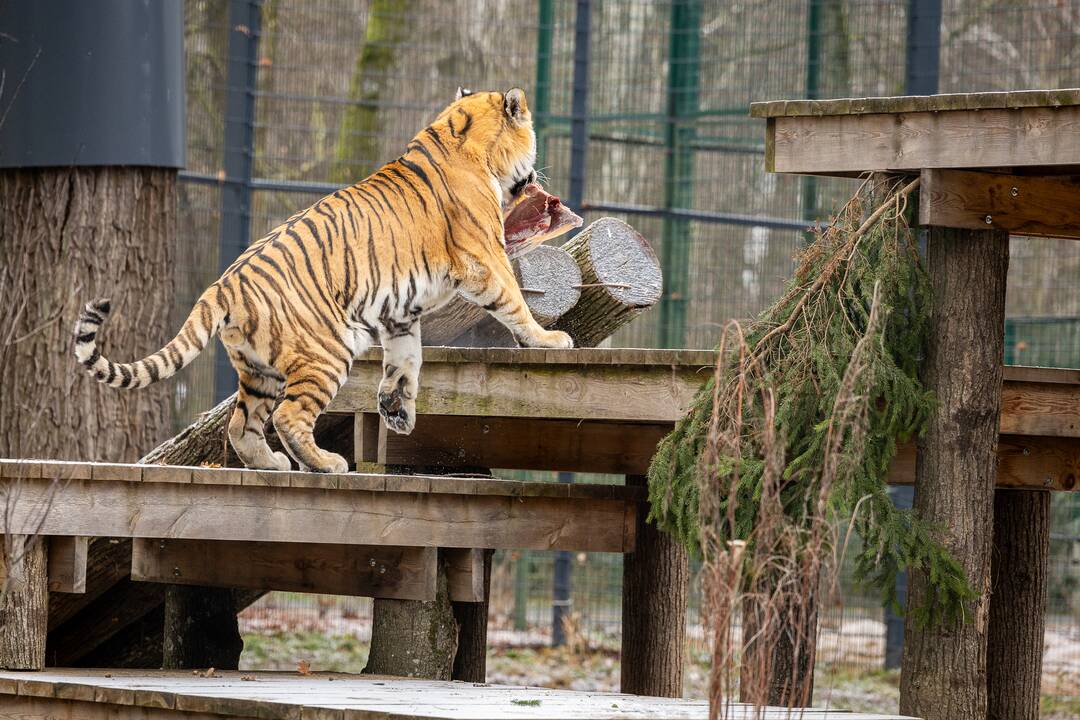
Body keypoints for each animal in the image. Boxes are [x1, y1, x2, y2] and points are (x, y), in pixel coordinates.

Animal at [73, 85, 574, 472]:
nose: (536, 175)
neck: (459, 135)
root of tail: (223, 284)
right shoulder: (486, 258)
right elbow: (515, 302)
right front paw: (549, 339)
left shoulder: (400, 313)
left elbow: (407, 359)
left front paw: (397, 410)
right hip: (326, 351)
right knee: (288, 418)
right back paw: (326, 463)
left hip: (258, 370)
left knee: (241, 425)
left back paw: (272, 465)